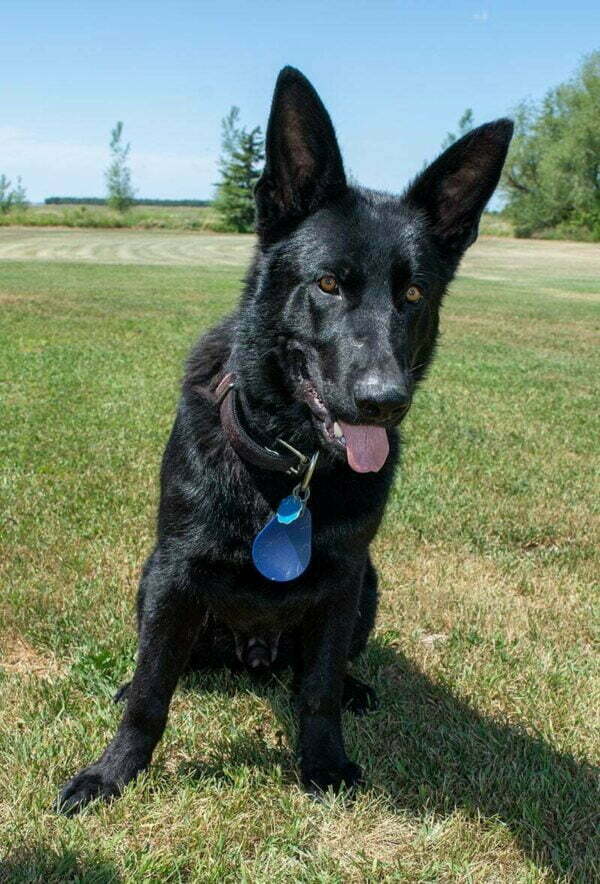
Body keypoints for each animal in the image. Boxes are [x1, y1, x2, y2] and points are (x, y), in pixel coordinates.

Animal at [58, 65, 512, 812]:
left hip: (369, 587)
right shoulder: (175, 574)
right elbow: (153, 694)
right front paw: (112, 772)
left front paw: (323, 762)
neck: (289, 469)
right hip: (151, 582)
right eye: (327, 284)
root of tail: (255, 654)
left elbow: (318, 691)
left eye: (414, 295)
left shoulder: (342, 580)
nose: (384, 401)